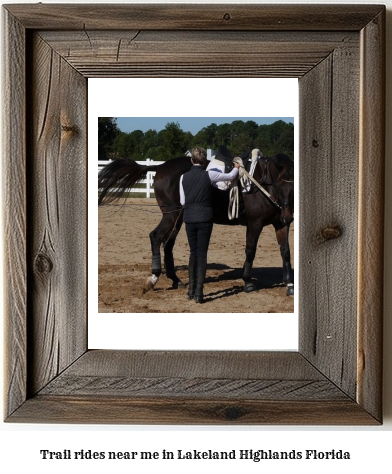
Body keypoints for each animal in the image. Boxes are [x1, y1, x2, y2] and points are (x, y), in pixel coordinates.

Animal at [98, 150, 294, 296]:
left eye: (294, 187)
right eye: (281, 185)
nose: (288, 216)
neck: (262, 184)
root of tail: (161, 167)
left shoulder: (280, 226)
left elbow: (285, 252)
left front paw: (289, 284)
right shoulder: (255, 224)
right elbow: (251, 251)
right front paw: (247, 281)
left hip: (178, 218)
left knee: (168, 244)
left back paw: (175, 279)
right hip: (171, 215)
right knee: (156, 237)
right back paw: (153, 278)